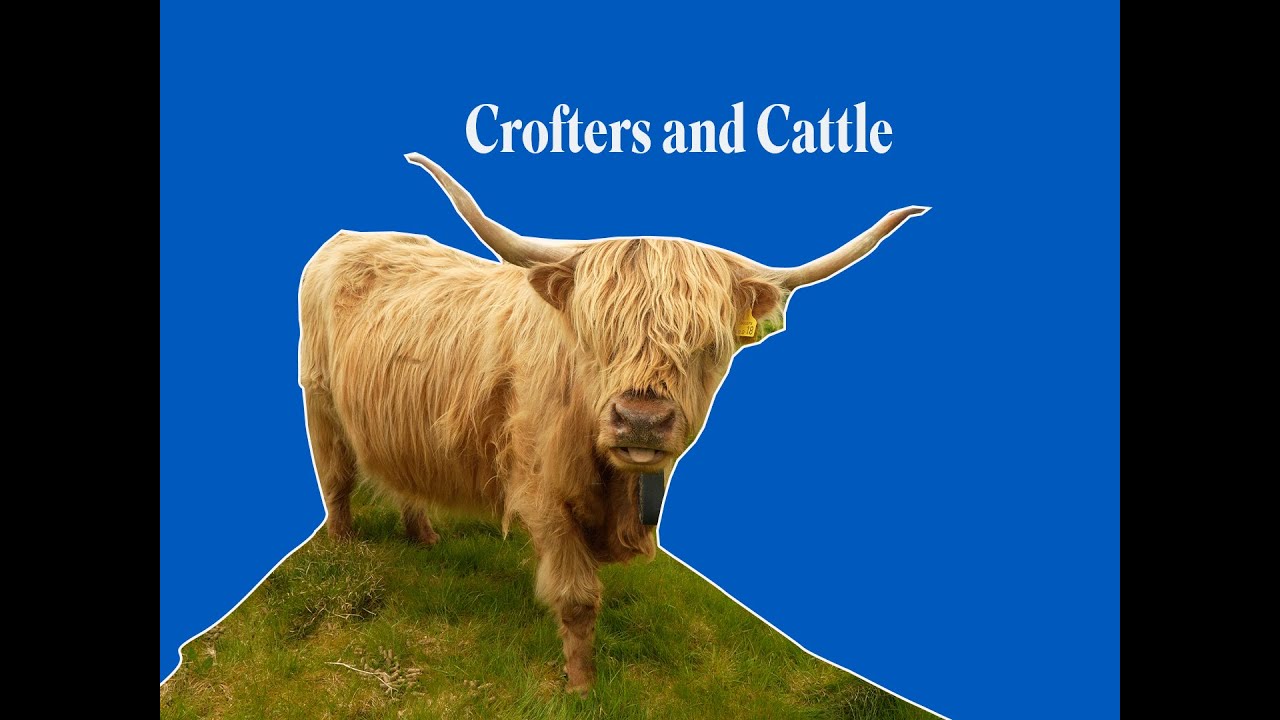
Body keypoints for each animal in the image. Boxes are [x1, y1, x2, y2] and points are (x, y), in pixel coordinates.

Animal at [298, 153, 927, 694]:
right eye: (596, 334)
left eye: (709, 346)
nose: (641, 421)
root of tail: (350, 236)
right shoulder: (542, 491)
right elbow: (578, 599)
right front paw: (581, 685)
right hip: (320, 404)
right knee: (337, 481)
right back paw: (344, 551)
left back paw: (424, 536)